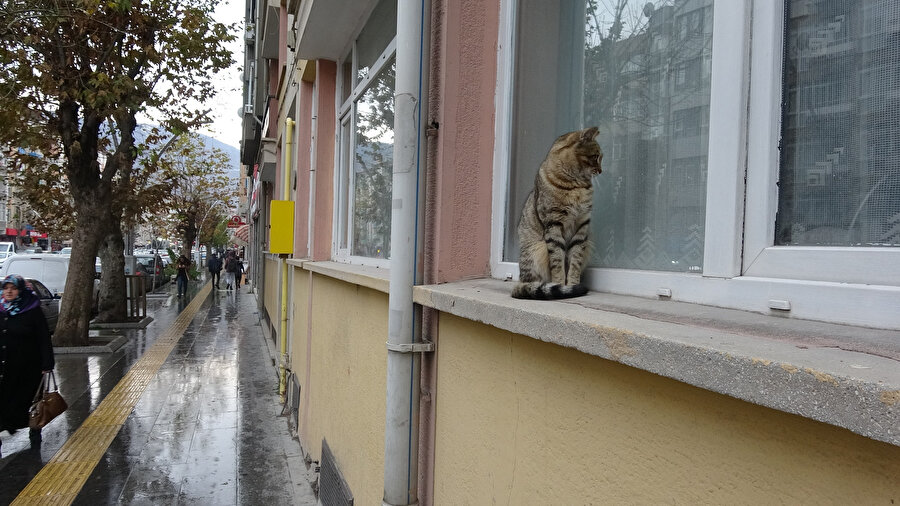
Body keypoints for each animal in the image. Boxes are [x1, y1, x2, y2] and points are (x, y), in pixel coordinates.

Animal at [512, 127, 604, 300]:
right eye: (595, 157)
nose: (601, 171)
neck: (575, 186)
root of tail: (520, 281)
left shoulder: (581, 227)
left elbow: (575, 261)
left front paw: (573, 285)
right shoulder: (553, 225)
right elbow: (557, 262)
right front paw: (562, 285)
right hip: (537, 249)